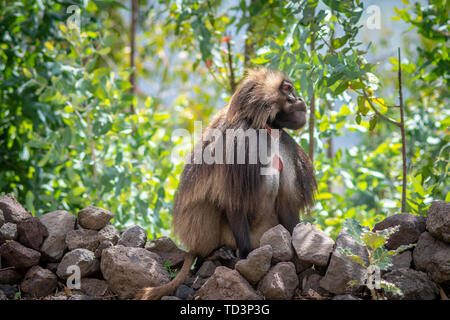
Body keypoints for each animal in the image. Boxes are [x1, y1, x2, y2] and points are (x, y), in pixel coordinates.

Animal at [137, 68, 316, 300]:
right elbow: (233, 202)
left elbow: (287, 205)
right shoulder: (243, 142)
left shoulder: (285, 145)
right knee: (208, 203)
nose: (299, 99)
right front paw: (246, 263)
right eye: (287, 89)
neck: (263, 127)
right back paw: (213, 255)